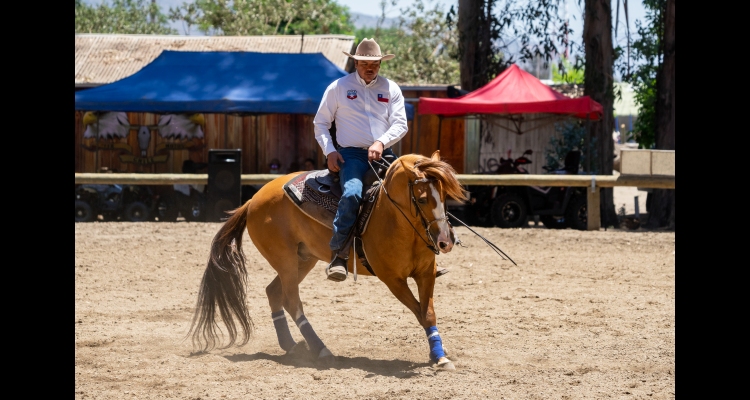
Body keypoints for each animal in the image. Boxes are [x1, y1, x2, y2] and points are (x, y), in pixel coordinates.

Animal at [191, 152, 468, 368]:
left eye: (444, 195)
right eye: (421, 199)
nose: (445, 241)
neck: (393, 217)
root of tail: (252, 201)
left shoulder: (425, 274)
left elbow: (427, 313)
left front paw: (439, 354)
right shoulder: (393, 280)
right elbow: (420, 312)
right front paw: (437, 354)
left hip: (303, 259)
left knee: (273, 292)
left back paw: (291, 345)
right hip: (285, 260)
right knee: (291, 301)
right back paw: (321, 350)